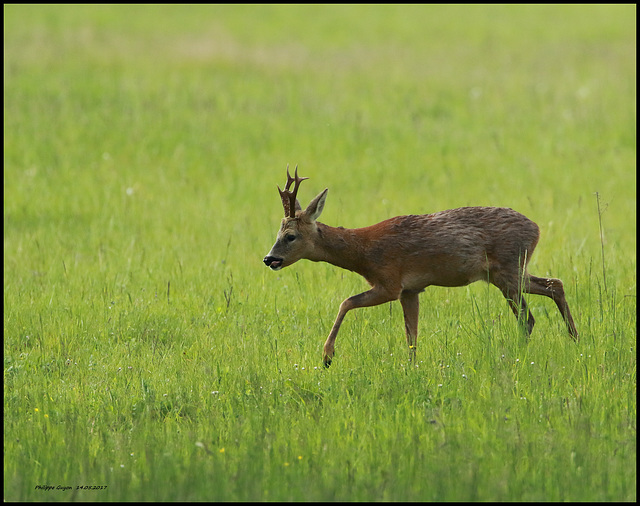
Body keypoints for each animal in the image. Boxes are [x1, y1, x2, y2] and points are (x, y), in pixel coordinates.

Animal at [262, 167, 576, 368]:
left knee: (529, 316)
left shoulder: (390, 283)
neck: (363, 252)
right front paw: (412, 369)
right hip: (508, 272)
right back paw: (574, 338)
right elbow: (411, 336)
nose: (269, 259)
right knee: (554, 286)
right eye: (277, 232)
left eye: (290, 236)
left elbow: (346, 302)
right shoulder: (410, 290)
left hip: (507, 270)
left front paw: (327, 356)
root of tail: (536, 229)